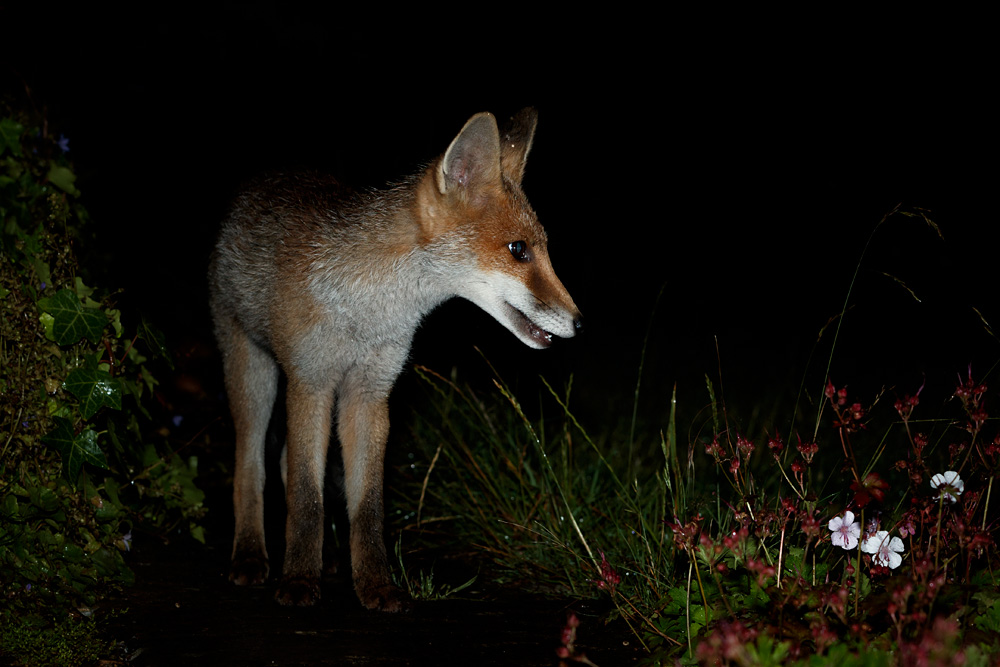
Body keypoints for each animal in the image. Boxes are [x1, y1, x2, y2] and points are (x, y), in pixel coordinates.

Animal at [207, 107, 582, 612]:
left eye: (539, 248)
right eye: (518, 250)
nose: (579, 322)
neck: (369, 312)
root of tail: (270, 176)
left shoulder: (371, 392)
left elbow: (366, 506)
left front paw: (375, 585)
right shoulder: (311, 381)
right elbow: (306, 497)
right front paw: (299, 581)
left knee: (285, 460)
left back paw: (324, 559)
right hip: (255, 376)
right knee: (252, 465)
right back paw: (251, 556)